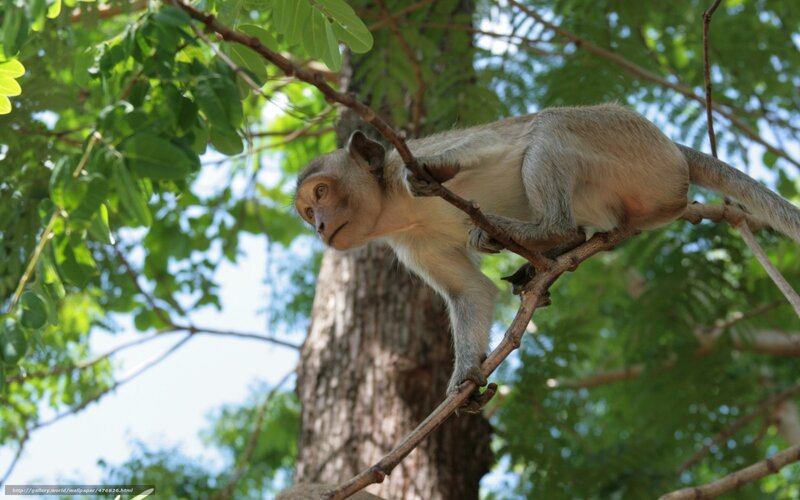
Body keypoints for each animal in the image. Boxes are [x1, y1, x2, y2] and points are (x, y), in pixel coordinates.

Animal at [294, 104, 800, 396]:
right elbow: (470, 292)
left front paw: (438, 168)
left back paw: (542, 231)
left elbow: (481, 146)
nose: (319, 226)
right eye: (306, 210)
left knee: (549, 126)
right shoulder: (412, 243)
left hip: (626, 137)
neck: (395, 205)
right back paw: (558, 246)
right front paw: (465, 378)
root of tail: (674, 150)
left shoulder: (406, 162)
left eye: (321, 192)